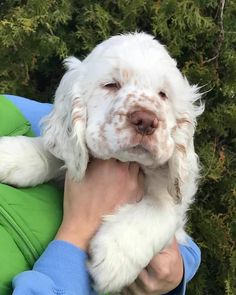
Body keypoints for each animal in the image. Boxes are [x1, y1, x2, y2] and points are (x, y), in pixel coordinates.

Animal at [0, 33, 203, 294]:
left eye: (162, 95)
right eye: (111, 85)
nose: (146, 121)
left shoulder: (175, 199)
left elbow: (160, 209)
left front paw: (113, 257)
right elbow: (54, 153)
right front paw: (11, 154)